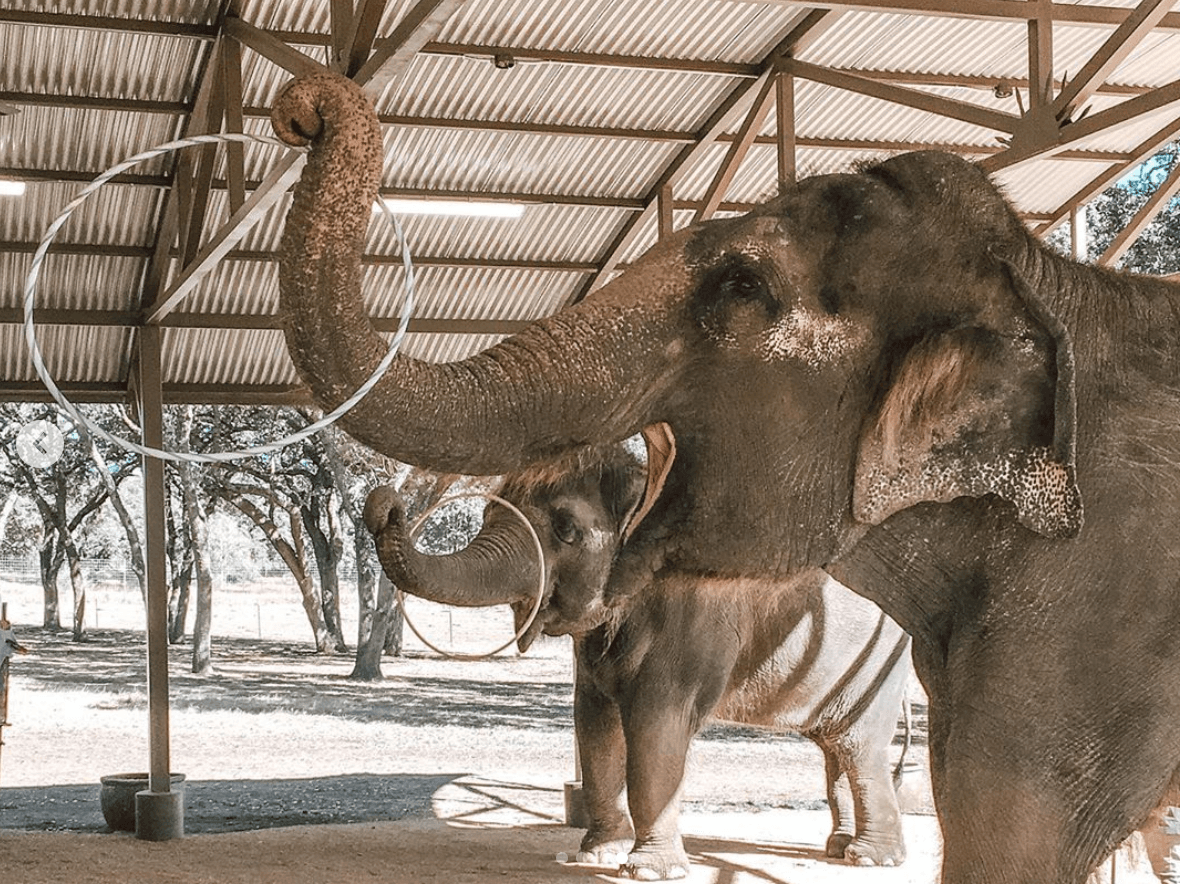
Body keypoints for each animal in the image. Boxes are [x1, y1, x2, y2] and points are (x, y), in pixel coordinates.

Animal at [363, 442, 912, 878]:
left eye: (566, 530)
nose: (384, 503)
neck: (646, 484)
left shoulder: (691, 621)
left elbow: (654, 728)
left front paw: (649, 871)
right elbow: (594, 725)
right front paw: (597, 856)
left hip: (882, 660)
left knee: (860, 747)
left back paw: (873, 859)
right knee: (836, 746)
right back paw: (839, 848)